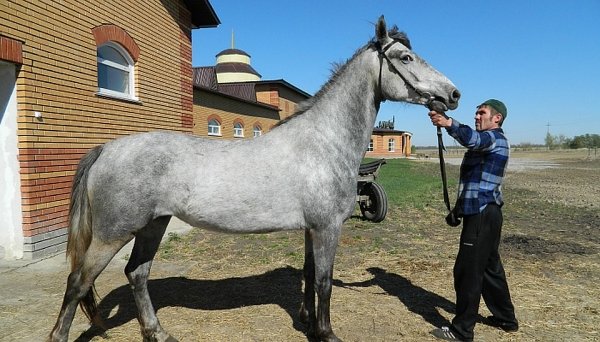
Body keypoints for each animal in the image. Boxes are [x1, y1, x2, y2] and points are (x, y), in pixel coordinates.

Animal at [48, 16, 460, 342]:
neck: (323, 142)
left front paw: (307, 322)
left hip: (153, 225)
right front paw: (326, 333)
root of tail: (107, 149)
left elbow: (310, 275)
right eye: (405, 58)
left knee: (137, 273)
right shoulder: (328, 227)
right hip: (111, 234)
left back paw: (158, 332)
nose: (453, 94)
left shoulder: (311, 229)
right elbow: (325, 282)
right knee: (77, 282)